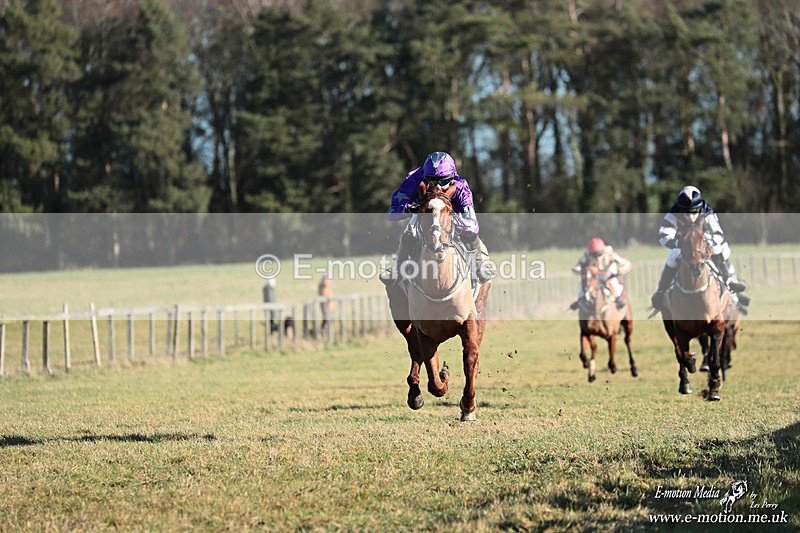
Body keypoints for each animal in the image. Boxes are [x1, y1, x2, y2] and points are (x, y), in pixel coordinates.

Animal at [384, 182, 491, 421]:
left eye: (449, 211)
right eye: (424, 210)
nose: (437, 243)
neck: (440, 284)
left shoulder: (468, 321)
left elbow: (470, 358)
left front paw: (468, 406)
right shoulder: (424, 330)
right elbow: (433, 379)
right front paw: (443, 376)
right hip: (401, 317)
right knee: (414, 351)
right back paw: (415, 393)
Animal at [661, 216, 730, 400]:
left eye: (703, 239)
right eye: (681, 239)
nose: (696, 266)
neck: (694, 294)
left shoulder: (717, 324)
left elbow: (715, 358)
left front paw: (714, 386)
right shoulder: (678, 329)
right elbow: (681, 353)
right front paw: (690, 365)